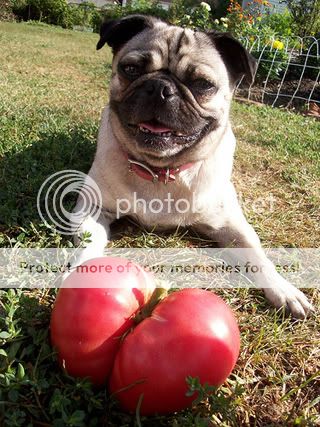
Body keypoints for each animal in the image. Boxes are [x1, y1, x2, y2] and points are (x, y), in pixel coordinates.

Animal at [72, 14, 312, 318]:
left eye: (202, 84)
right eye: (131, 69)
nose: (160, 88)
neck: (160, 171)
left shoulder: (232, 225)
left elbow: (257, 254)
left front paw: (284, 289)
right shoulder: (92, 207)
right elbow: (89, 242)